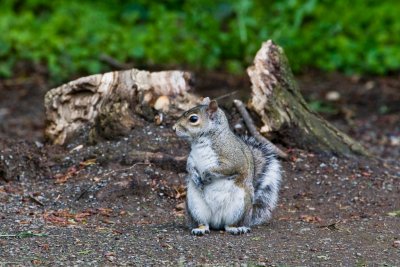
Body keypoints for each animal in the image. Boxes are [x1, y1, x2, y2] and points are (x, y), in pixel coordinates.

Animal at [173, 97, 282, 236]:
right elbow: (189, 167)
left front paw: (206, 174)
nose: (174, 128)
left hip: (239, 206)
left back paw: (237, 228)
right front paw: (196, 177)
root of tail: (216, 221)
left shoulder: (233, 159)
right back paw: (200, 229)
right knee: (204, 223)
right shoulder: (191, 158)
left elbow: (225, 169)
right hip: (195, 206)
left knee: (229, 225)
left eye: (193, 119)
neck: (202, 141)